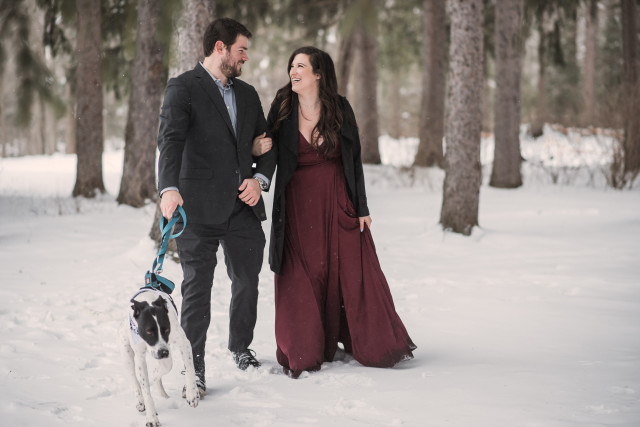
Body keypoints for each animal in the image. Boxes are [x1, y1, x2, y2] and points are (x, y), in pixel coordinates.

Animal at [120, 287, 199, 427]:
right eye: (149, 332)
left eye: (166, 330)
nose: (163, 352)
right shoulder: (140, 357)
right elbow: (145, 388)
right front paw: (151, 417)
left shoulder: (183, 343)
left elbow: (189, 368)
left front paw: (192, 394)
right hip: (127, 353)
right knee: (134, 379)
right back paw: (140, 401)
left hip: (166, 357)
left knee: (160, 369)